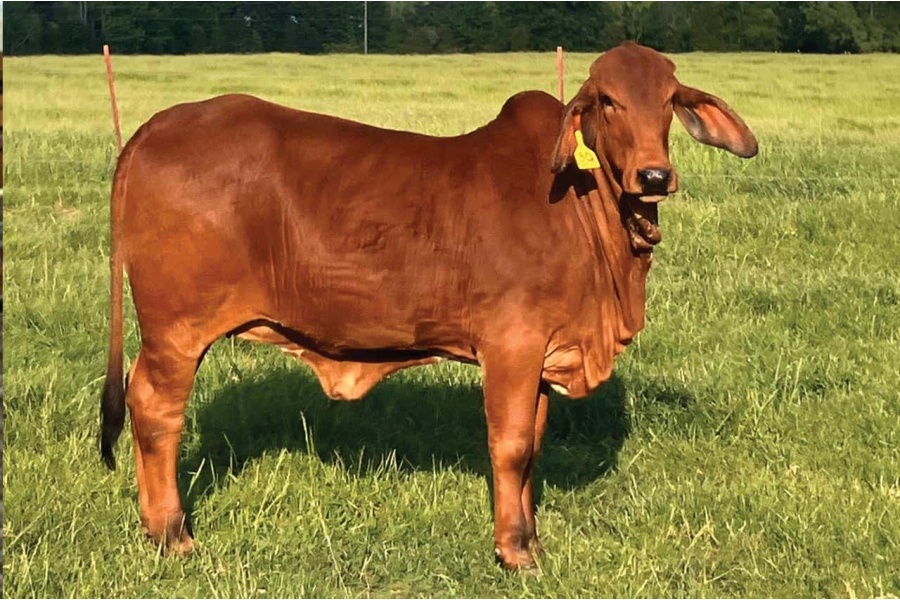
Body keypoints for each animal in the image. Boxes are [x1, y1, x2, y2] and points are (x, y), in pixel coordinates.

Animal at [100, 42, 757, 570]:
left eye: (669, 100)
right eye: (608, 100)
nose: (654, 176)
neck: (585, 208)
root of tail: (156, 126)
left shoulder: (542, 353)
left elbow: (534, 446)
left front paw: (531, 537)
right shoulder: (511, 344)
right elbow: (511, 446)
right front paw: (514, 550)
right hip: (176, 330)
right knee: (154, 410)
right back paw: (171, 533)